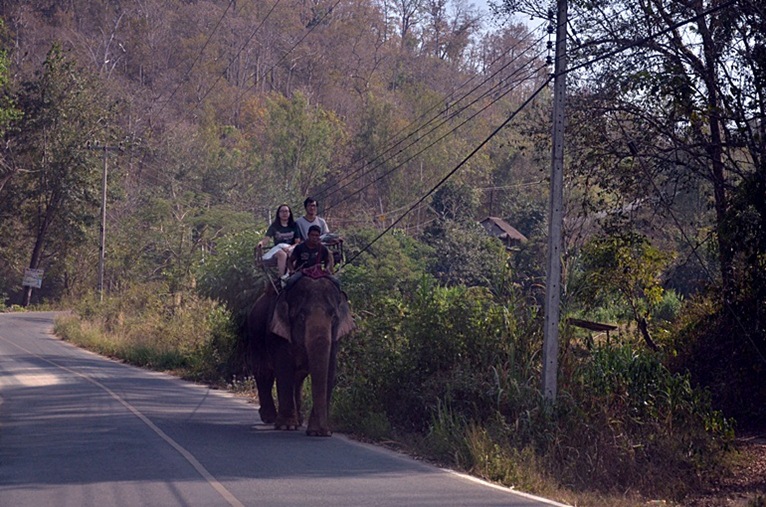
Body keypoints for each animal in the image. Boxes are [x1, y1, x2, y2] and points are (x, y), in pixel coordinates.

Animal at [248, 274, 356, 436]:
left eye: (333, 317)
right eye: (301, 316)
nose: (326, 431)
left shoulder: (335, 338)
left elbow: (330, 370)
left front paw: (317, 432)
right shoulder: (279, 332)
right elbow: (284, 368)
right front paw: (286, 427)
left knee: (298, 378)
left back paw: (298, 420)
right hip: (255, 334)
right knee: (263, 372)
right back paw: (270, 418)